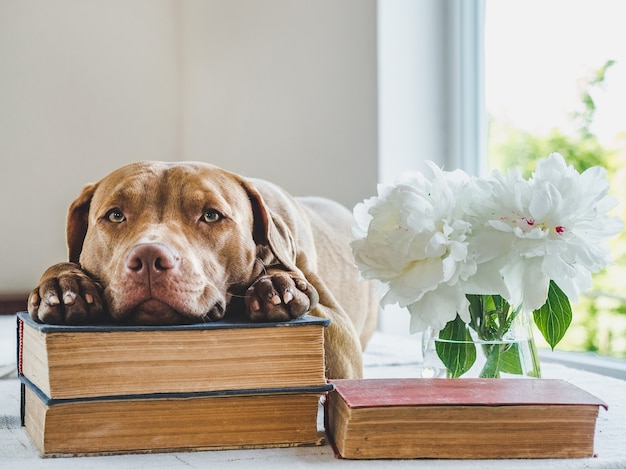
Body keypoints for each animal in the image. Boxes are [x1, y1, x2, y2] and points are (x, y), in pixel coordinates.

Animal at [28, 161, 376, 376]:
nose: (149, 258)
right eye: (115, 215)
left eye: (211, 215)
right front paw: (63, 285)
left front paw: (276, 285)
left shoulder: (339, 335)